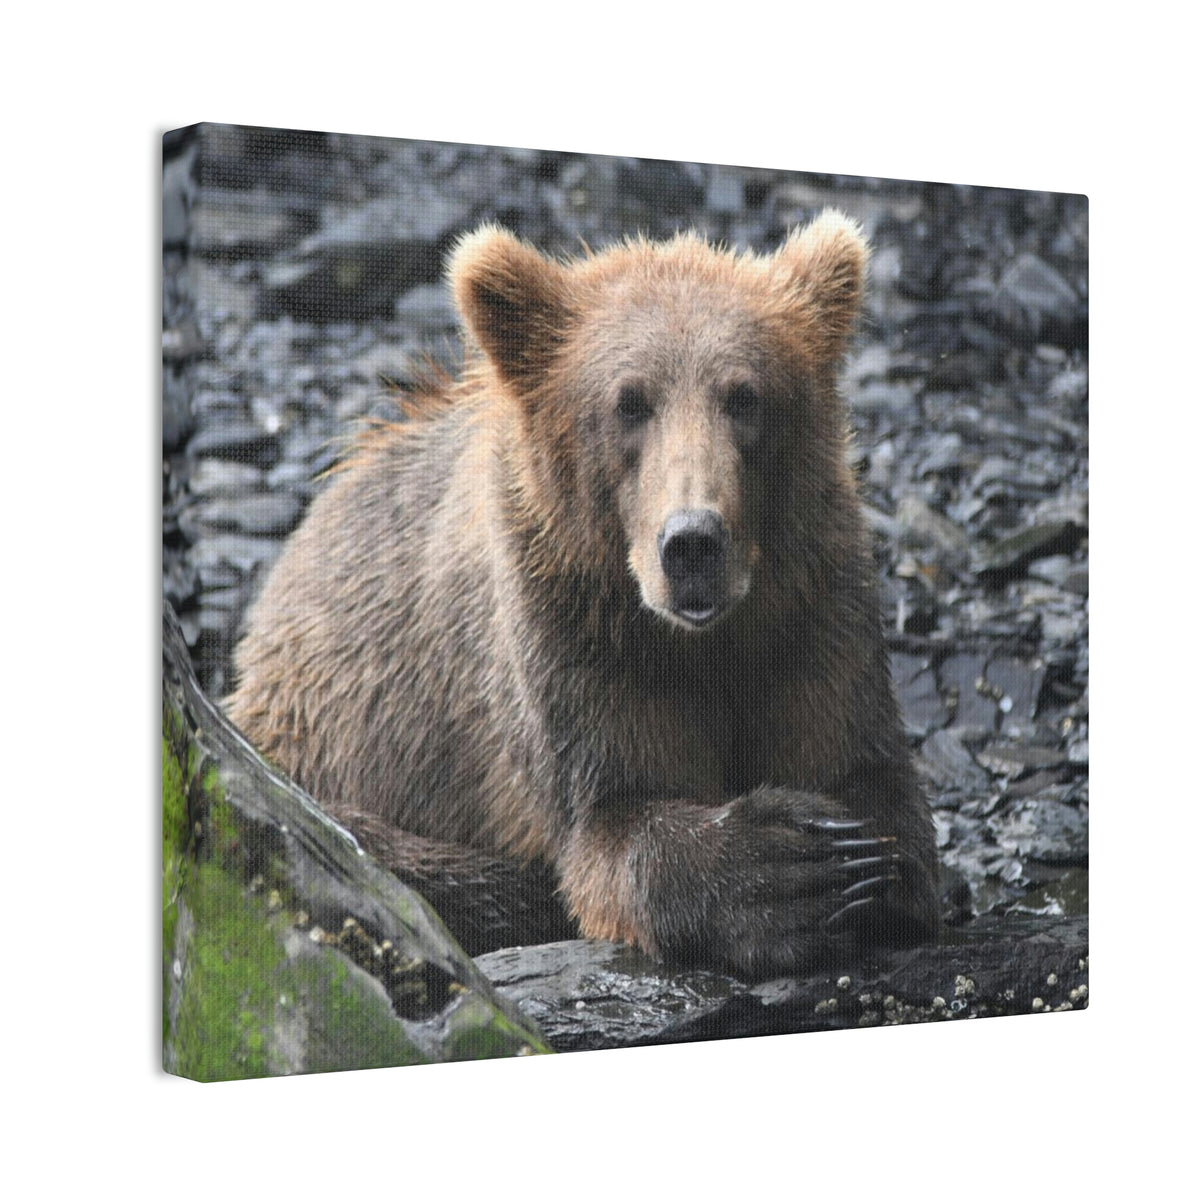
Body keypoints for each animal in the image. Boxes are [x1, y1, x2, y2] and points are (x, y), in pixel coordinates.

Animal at [227, 212, 940, 979]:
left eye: (745, 396)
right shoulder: (570, 633)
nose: (693, 543)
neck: (700, 640)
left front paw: (860, 862)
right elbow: (612, 819)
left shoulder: (812, 607)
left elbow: (865, 771)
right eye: (629, 402)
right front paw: (789, 869)